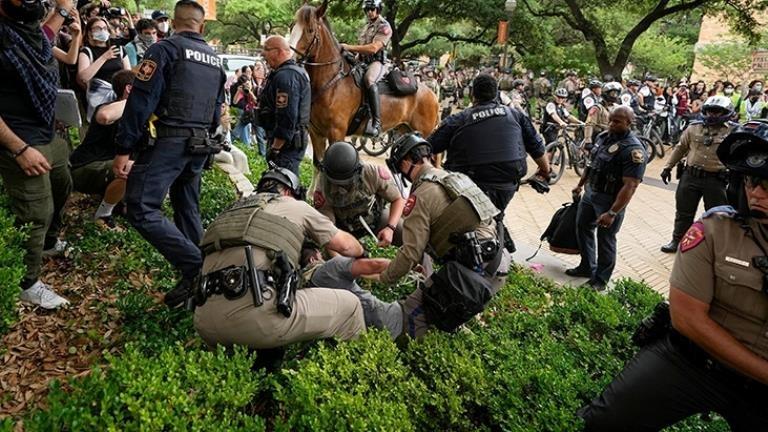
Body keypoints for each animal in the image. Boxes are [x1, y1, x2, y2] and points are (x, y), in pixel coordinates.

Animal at [288, 0, 438, 162]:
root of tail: (433, 95)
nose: (290, 58)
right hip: (405, 131)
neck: (332, 83)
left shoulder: (336, 133)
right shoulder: (316, 133)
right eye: (291, 27)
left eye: (310, 30)